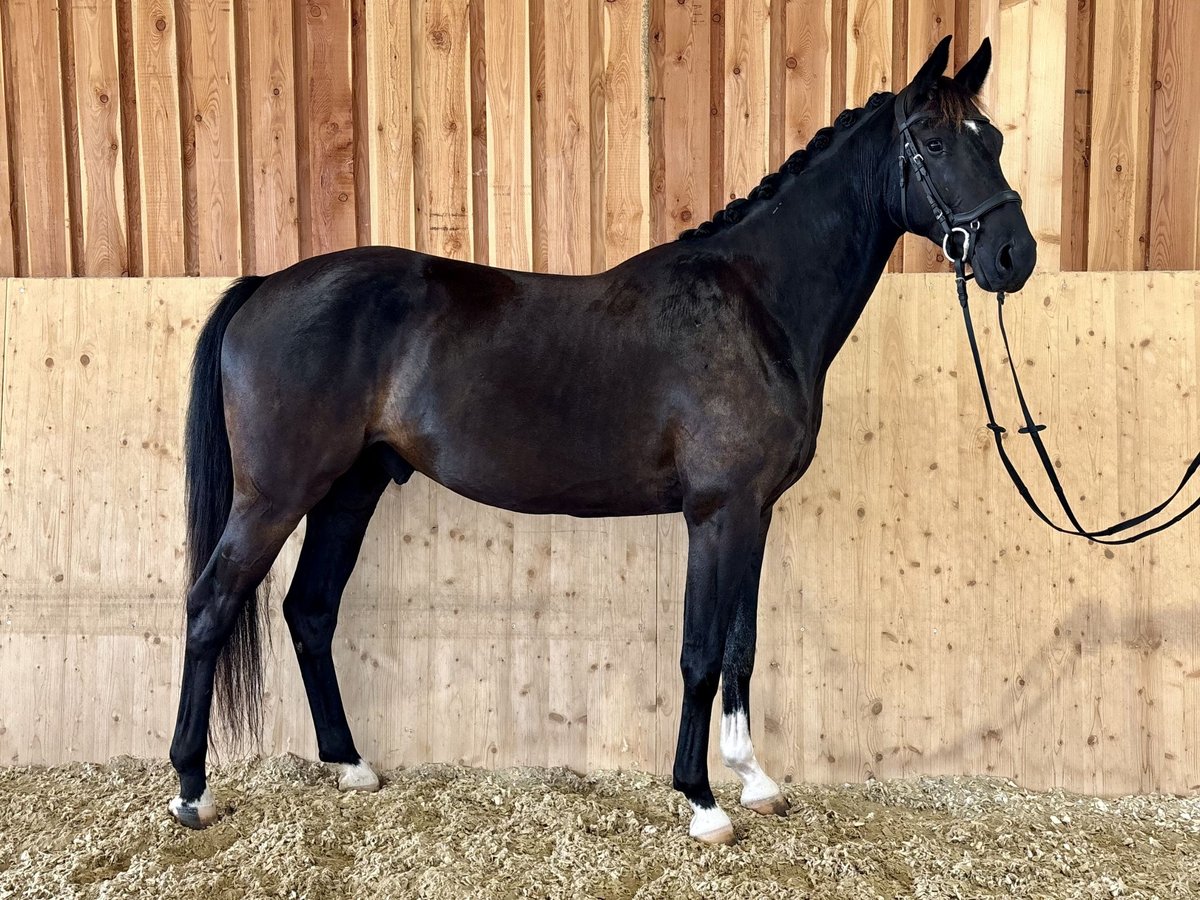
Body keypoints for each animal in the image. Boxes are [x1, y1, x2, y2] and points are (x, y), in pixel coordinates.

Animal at [166, 37, 1032, 844]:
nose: (1012, 256)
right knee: (211, 605)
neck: (755, 306)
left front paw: (755, 779)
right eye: (932, 142)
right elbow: (699, 652)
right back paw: (191, 790)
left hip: (350, 489)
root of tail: (264, 287)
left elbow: (742, 645)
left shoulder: (755, 513)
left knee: (311, 610)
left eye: (992, 138)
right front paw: (702, 800)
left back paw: (351, 765)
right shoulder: (717, 513)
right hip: (276, 495)